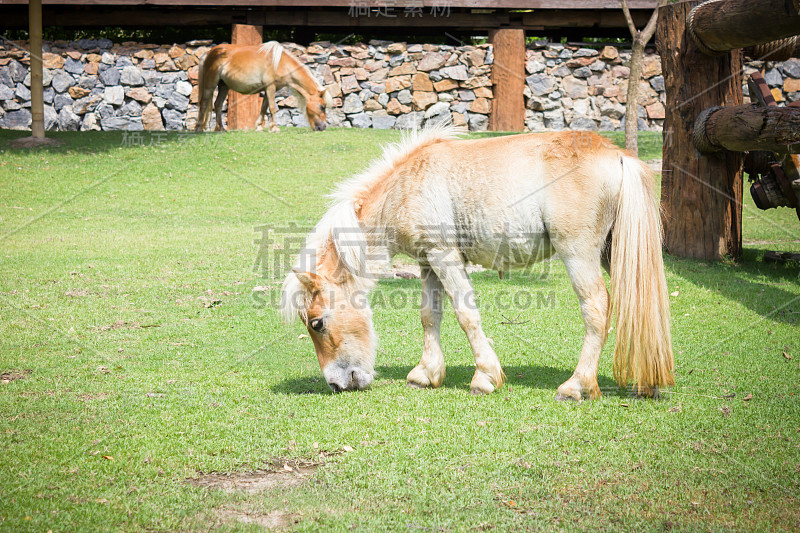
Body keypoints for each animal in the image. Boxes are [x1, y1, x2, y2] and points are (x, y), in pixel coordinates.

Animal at [195, 41, 332, 132]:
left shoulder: (269, 89)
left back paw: (221, 129)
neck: (280, 63)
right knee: (203, 103)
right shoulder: (271, 87)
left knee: (218, 105)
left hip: (224, 86)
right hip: (210, 85)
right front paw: (274, 128)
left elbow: (264, 108)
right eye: (322, 107)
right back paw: (198, 128)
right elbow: (272, 108)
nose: (323, 127)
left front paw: (260, 127)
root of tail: (209, 52)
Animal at [278, 125, 672, 400]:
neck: (405, 186)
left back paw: (576, 385)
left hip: (578, 253)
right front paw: (426, 374)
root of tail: (617, 155)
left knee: (597, 310)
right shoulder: (428, 263)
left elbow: (466, 315)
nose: (336, 384)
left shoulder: (445, 256)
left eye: (317, 323)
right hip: (610, 252)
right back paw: (647, 381)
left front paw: (484, 377)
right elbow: (429, 315)